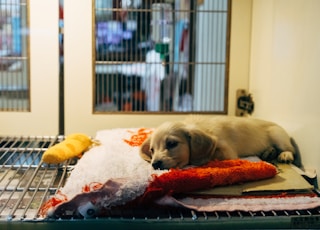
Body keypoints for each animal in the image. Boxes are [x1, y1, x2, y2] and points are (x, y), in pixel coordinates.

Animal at [140, 116, 296, 170]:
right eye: (152, 150)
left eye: (172, 144)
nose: (155, 164)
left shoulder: (227, 152)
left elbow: (212, 155)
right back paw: (269, 152)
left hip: (277, 135)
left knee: (290, 149)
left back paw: (285, 155)